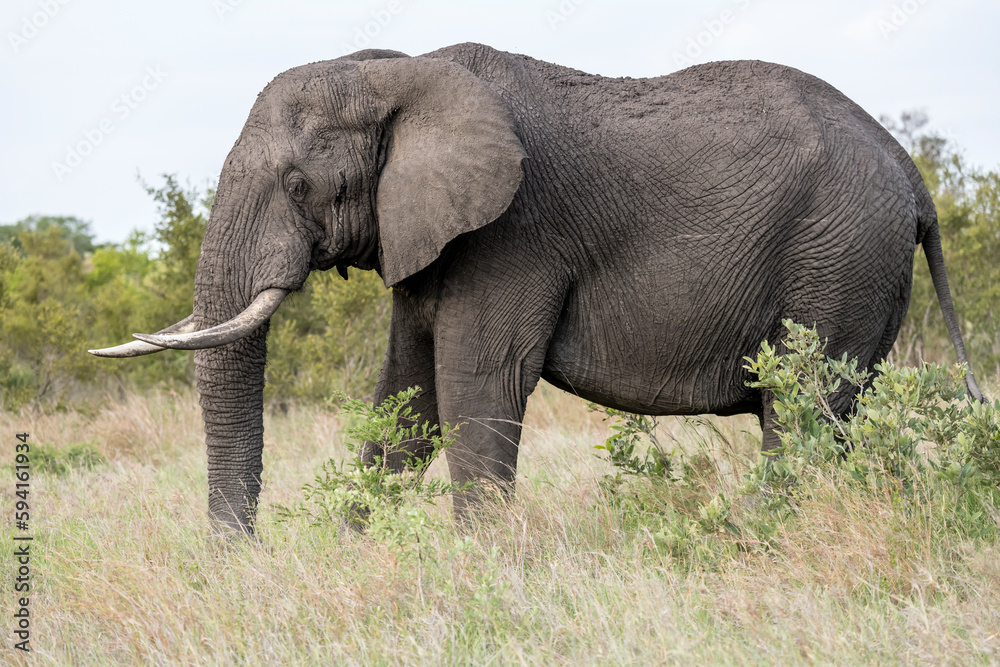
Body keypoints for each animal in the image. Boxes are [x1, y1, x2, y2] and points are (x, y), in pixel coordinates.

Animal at [92, 43, 984, 536]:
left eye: (297, 183)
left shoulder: (512, 234)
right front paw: (351, 552)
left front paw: (475, 568)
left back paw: (761, 538)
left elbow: (477, 386)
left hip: (839, 254)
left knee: (800, 410)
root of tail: (912, 172)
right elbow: (408, 401)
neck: (396, 73)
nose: (241, 557)